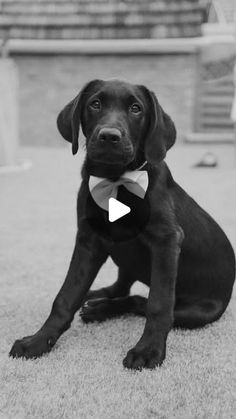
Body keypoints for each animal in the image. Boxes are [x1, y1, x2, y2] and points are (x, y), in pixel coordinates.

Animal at [9, 79, 234, 370]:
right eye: (95, 104)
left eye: (136, 109)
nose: (109, 136)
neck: (115, 181)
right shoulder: (89, 240)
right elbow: (65, 296)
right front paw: (38, 341)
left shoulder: (166, 240)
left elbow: (158, 304)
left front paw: (148, 350)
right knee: (122, 286)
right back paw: (96, 299)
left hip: (199, 311)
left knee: (140, 301)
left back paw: (100, 308)